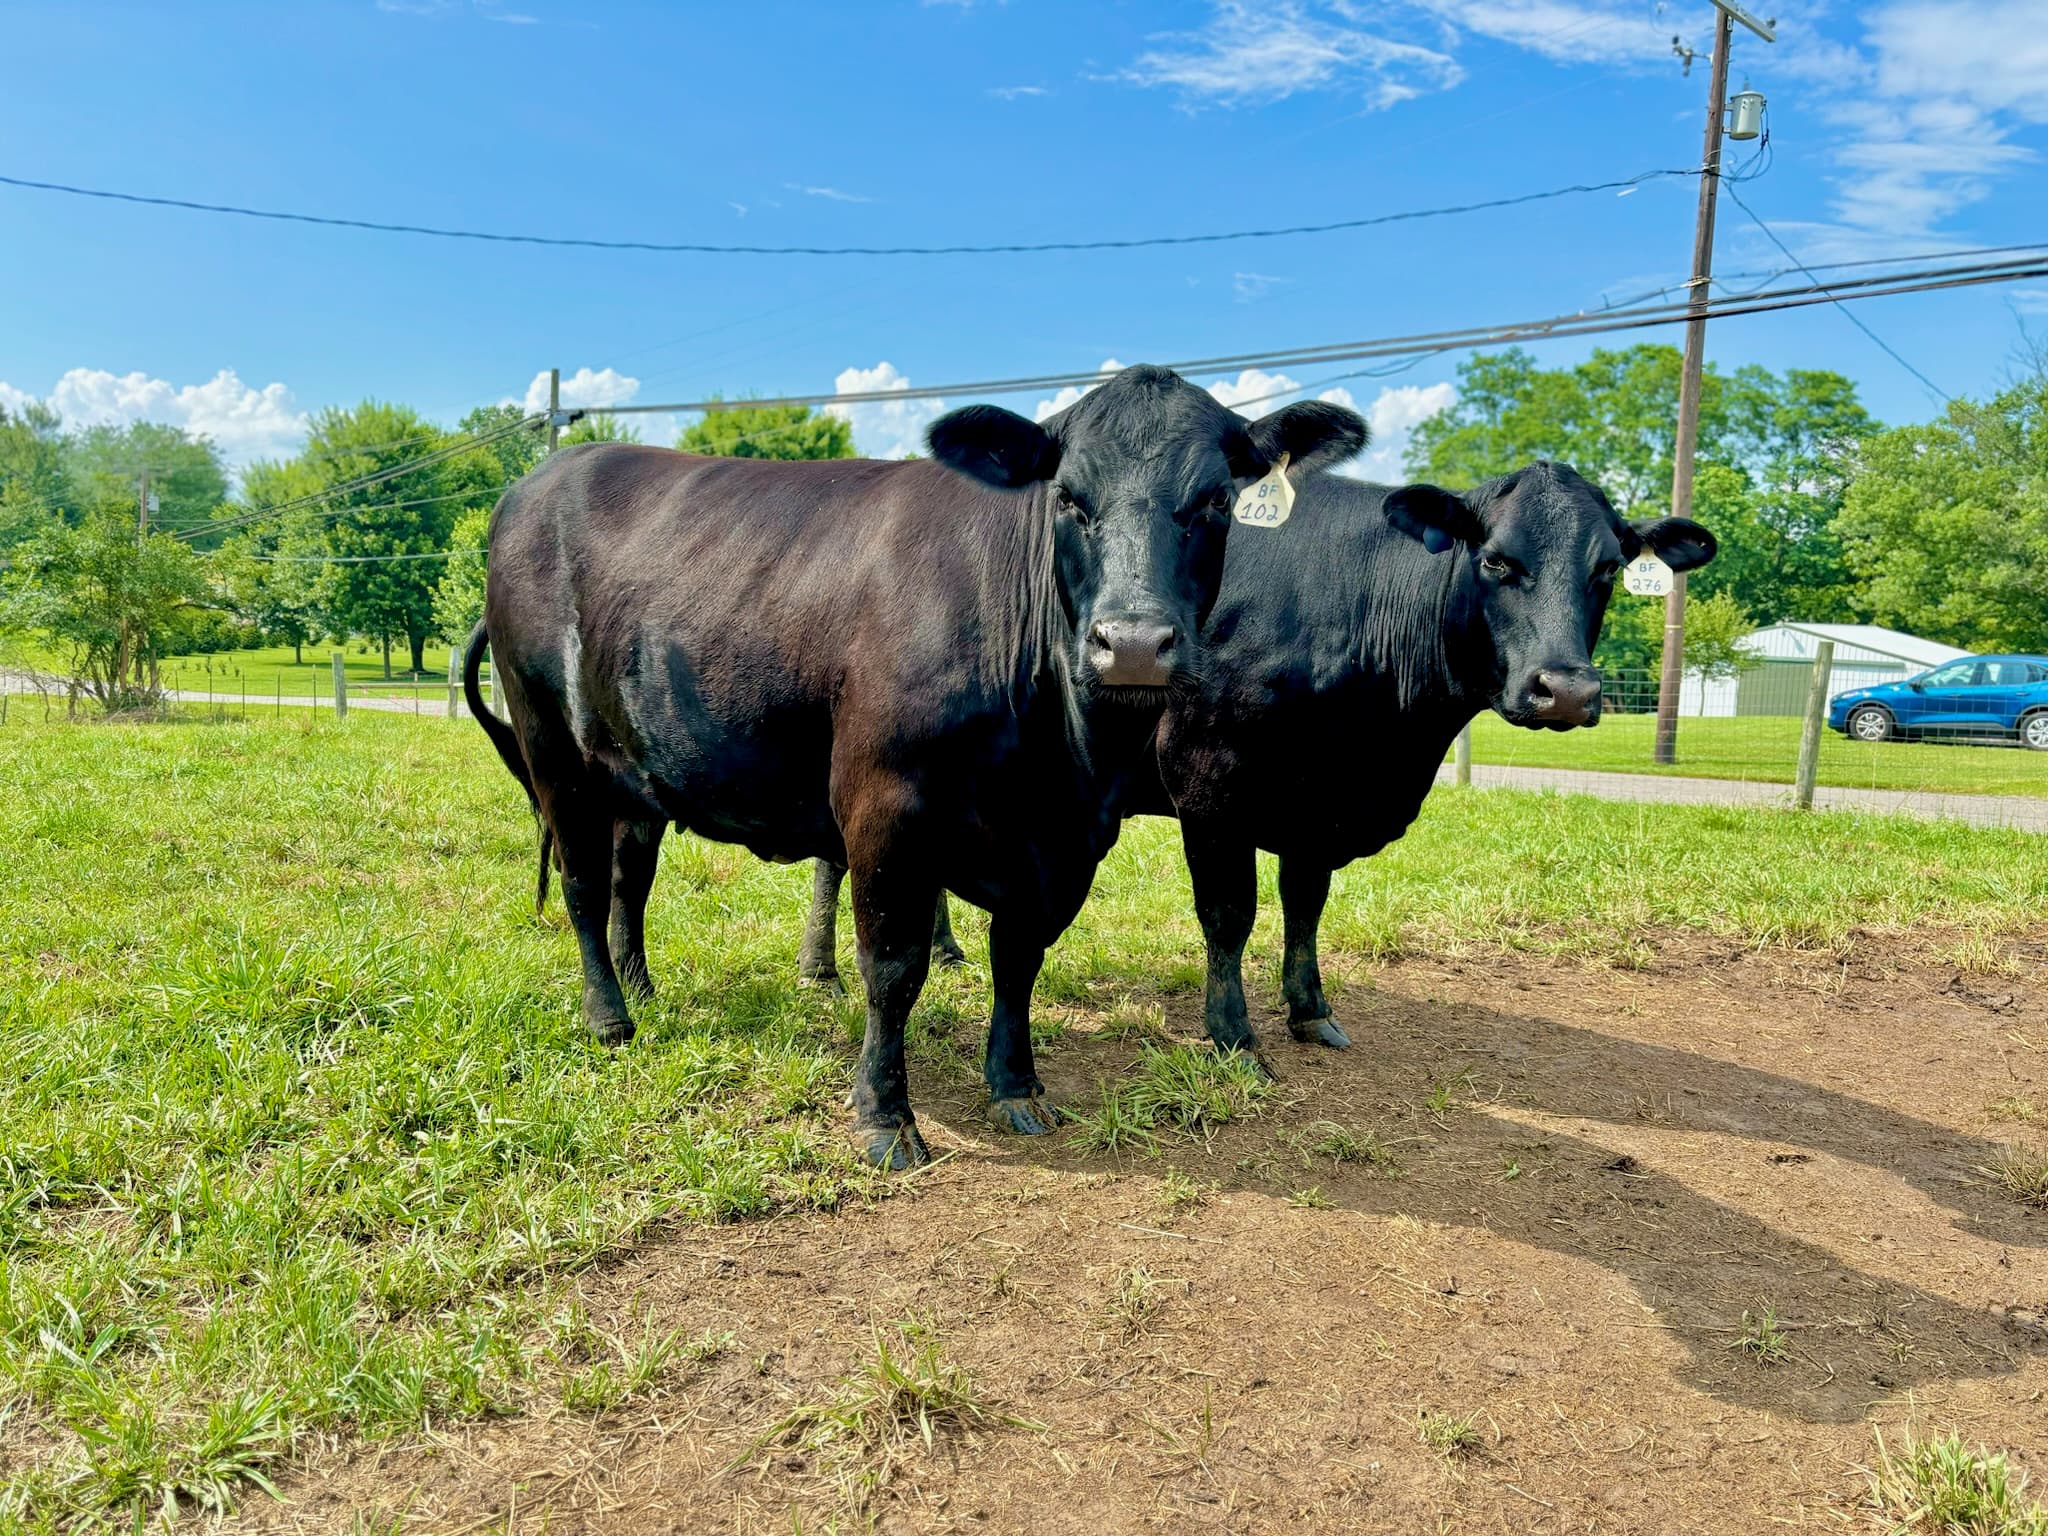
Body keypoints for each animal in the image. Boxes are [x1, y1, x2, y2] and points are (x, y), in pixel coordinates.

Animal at [463, 365, 1367, 1167]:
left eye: (1215, 501)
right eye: (1069, 498)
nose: (1134, 642)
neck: (1055, 765)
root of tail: (543, 477)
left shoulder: (1063, 845)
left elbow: (1018, 959)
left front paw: (1016, 1086)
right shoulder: (886, 808)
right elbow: (893, 967)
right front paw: (885, 1117)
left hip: (633, 770)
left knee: (630, 877)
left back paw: (641, 987)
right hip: (552, 749)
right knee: (584, 884)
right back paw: (609, 1017)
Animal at [803, 460, 1715, 1059]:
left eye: (1609, 568)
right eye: (1497, 561)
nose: (1565, 689)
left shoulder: (1318, 803)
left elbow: (1305, 906)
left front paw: (1311, 1010)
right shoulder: (1211, 785)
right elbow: (1229, 914)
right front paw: (1234, 1033)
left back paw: (946, 950)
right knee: (836, 859)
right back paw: (821, 970)